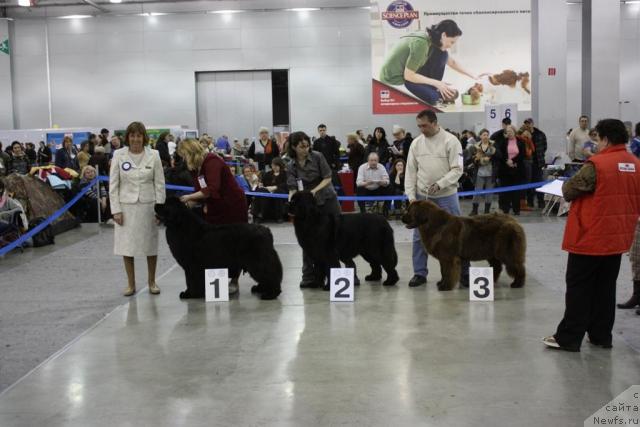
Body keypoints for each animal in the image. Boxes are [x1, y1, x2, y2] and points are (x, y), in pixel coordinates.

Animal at [154, 198, 282, 300]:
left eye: (165, 205)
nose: (155, 204)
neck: (181, 226)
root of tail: (266, 230)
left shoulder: (191, 267)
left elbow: (190, 281)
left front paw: (189, 294)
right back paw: (260, 289)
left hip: (257, 261)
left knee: (269, 274)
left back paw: (270, 294)